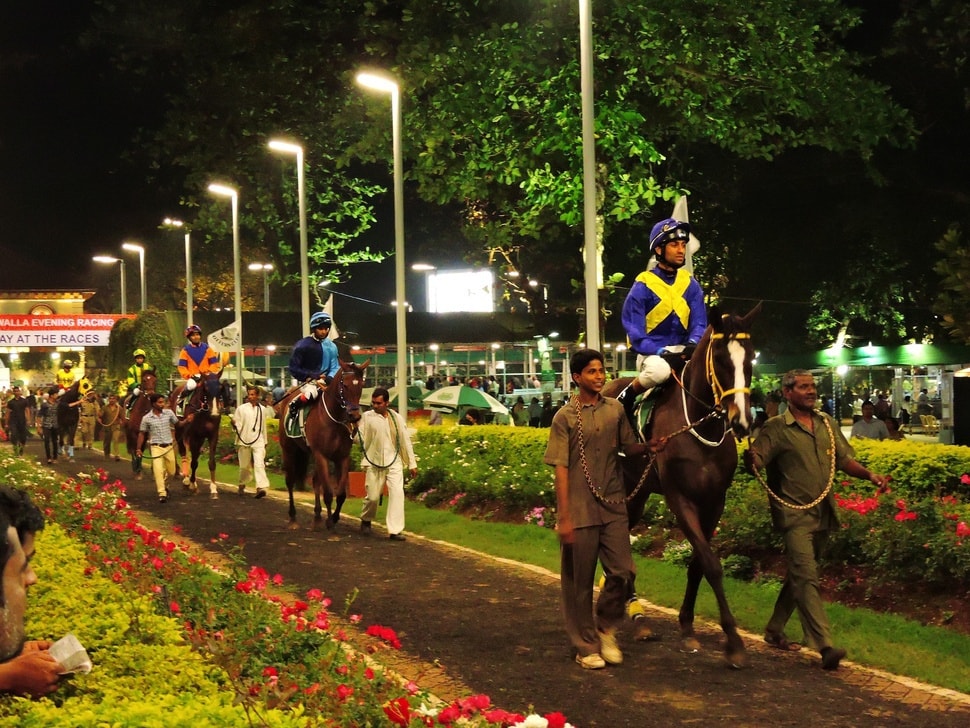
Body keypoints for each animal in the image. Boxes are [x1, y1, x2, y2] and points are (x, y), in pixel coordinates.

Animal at [276, 359, 369, 530]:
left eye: (361, 385)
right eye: (345, 385)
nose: (354, 416)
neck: (334, 419)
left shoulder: (342, 457)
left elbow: (341, 494)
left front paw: (334, 517)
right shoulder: (322, 455)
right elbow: (328, 493)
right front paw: (330, 522)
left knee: (315, 481)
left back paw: (317, 517)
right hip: (289, 449)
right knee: (290, 480)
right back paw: (293, 518)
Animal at [603, 304, 759, 669]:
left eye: (750, 359)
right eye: (721, 360)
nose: (742, 421)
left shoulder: (715, 501)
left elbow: (698, 564)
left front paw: (688, 625)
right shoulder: (680, 498)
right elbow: (712, 564)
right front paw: (734, 642)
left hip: (639, 494)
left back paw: (633, 610)